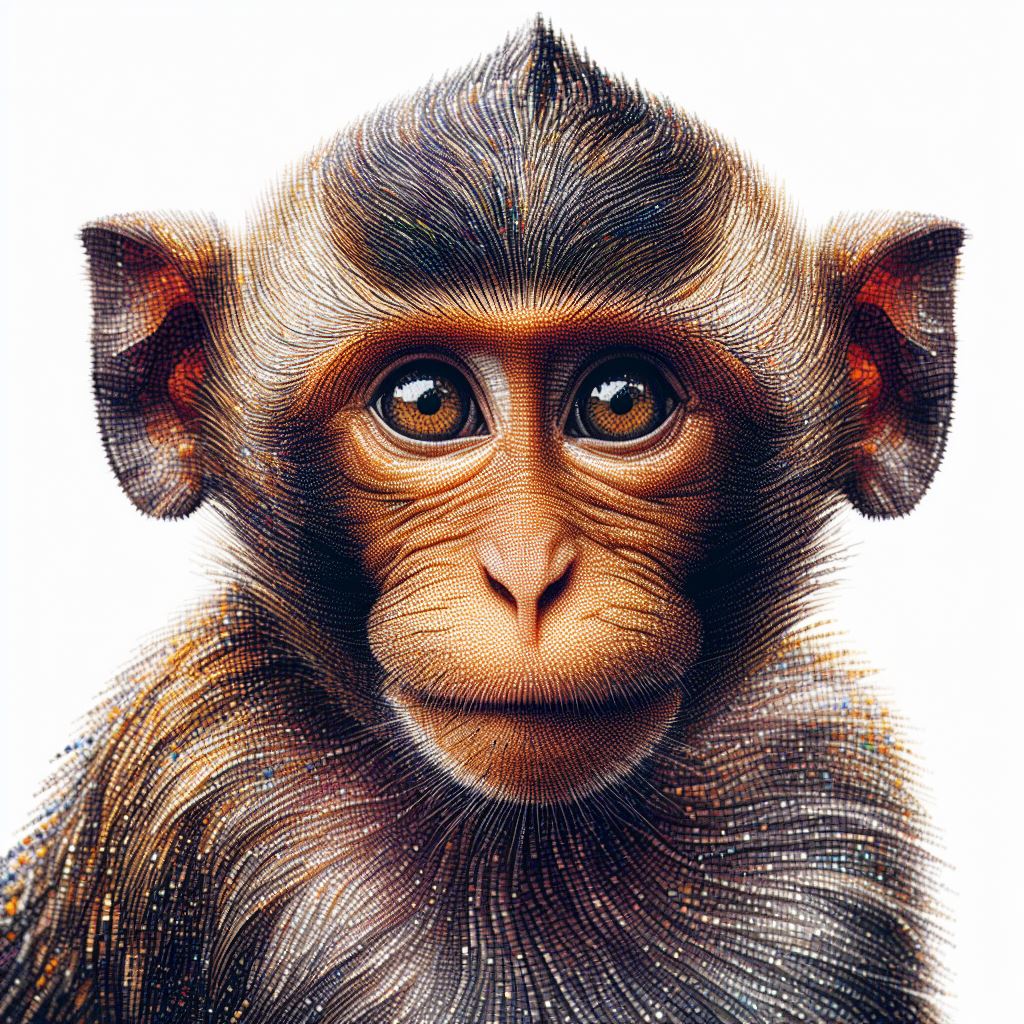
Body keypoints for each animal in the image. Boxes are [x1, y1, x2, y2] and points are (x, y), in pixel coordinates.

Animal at [0, 19, 963, 1024]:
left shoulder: (832, 801)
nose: (528, 573)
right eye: (426, 402)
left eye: (622, 401)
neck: (539, 850)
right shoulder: (201, 788)